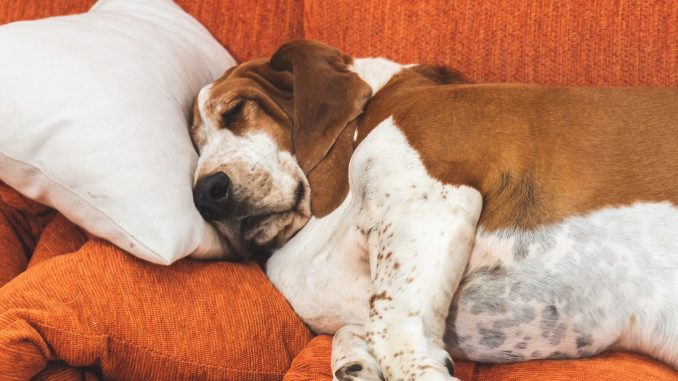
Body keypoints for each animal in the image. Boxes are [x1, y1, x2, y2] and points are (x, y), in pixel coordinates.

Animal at [190, 40, 678, 378]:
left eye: (235, 110)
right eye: (196, 144)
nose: (205, 193)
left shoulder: (429, 197)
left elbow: (393, 334)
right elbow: (357, 329)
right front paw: (353, 363)